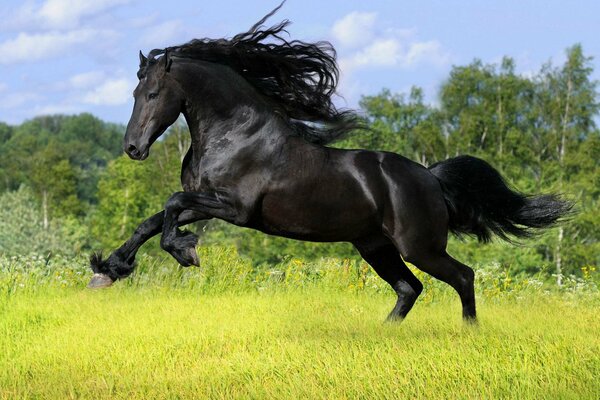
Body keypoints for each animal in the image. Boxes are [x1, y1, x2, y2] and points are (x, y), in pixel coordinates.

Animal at [89, 4, 572, 320]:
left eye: (153, 93)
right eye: (134, 92)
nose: (133, 148)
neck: (236, 133)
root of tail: (431, 178)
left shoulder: (235, 208)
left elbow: (170, 205)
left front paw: (185, 252)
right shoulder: (206, 201)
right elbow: (151, 221)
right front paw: (108, 271)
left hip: (419, 246)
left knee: (463, 276)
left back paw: (468, 333)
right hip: (375, 246)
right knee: (409, 288)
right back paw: (384, 334)